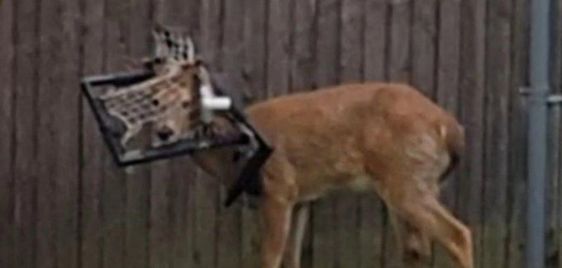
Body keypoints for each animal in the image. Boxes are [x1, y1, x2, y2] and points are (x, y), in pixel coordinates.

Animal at [147, 26, 470, 268]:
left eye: (187, 103)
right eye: (155, 102)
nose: (164, 132)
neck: (232, 150)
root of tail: (451, 128)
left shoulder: (279, 188)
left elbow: (270, 258)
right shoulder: (302, 197)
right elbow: (292, 257)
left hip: (407, 177)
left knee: (458, 235)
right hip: (412, 181)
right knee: (416, 249)